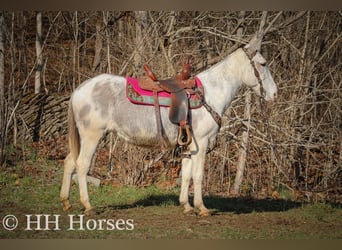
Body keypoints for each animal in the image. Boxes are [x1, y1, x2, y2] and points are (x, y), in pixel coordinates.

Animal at [59, 39, 278, 217]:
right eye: (263, 63)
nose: (274, 94)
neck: (209, 93)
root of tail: (79, 90)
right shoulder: (202, 142)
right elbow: (198, 175)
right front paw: (202, 208)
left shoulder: (189, 145)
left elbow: (187, 174)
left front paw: (187, 206)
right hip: (92, 136)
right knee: (82, 165)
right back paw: (88, 206)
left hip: (84, 137)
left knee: (69, 162)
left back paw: (66, 202)